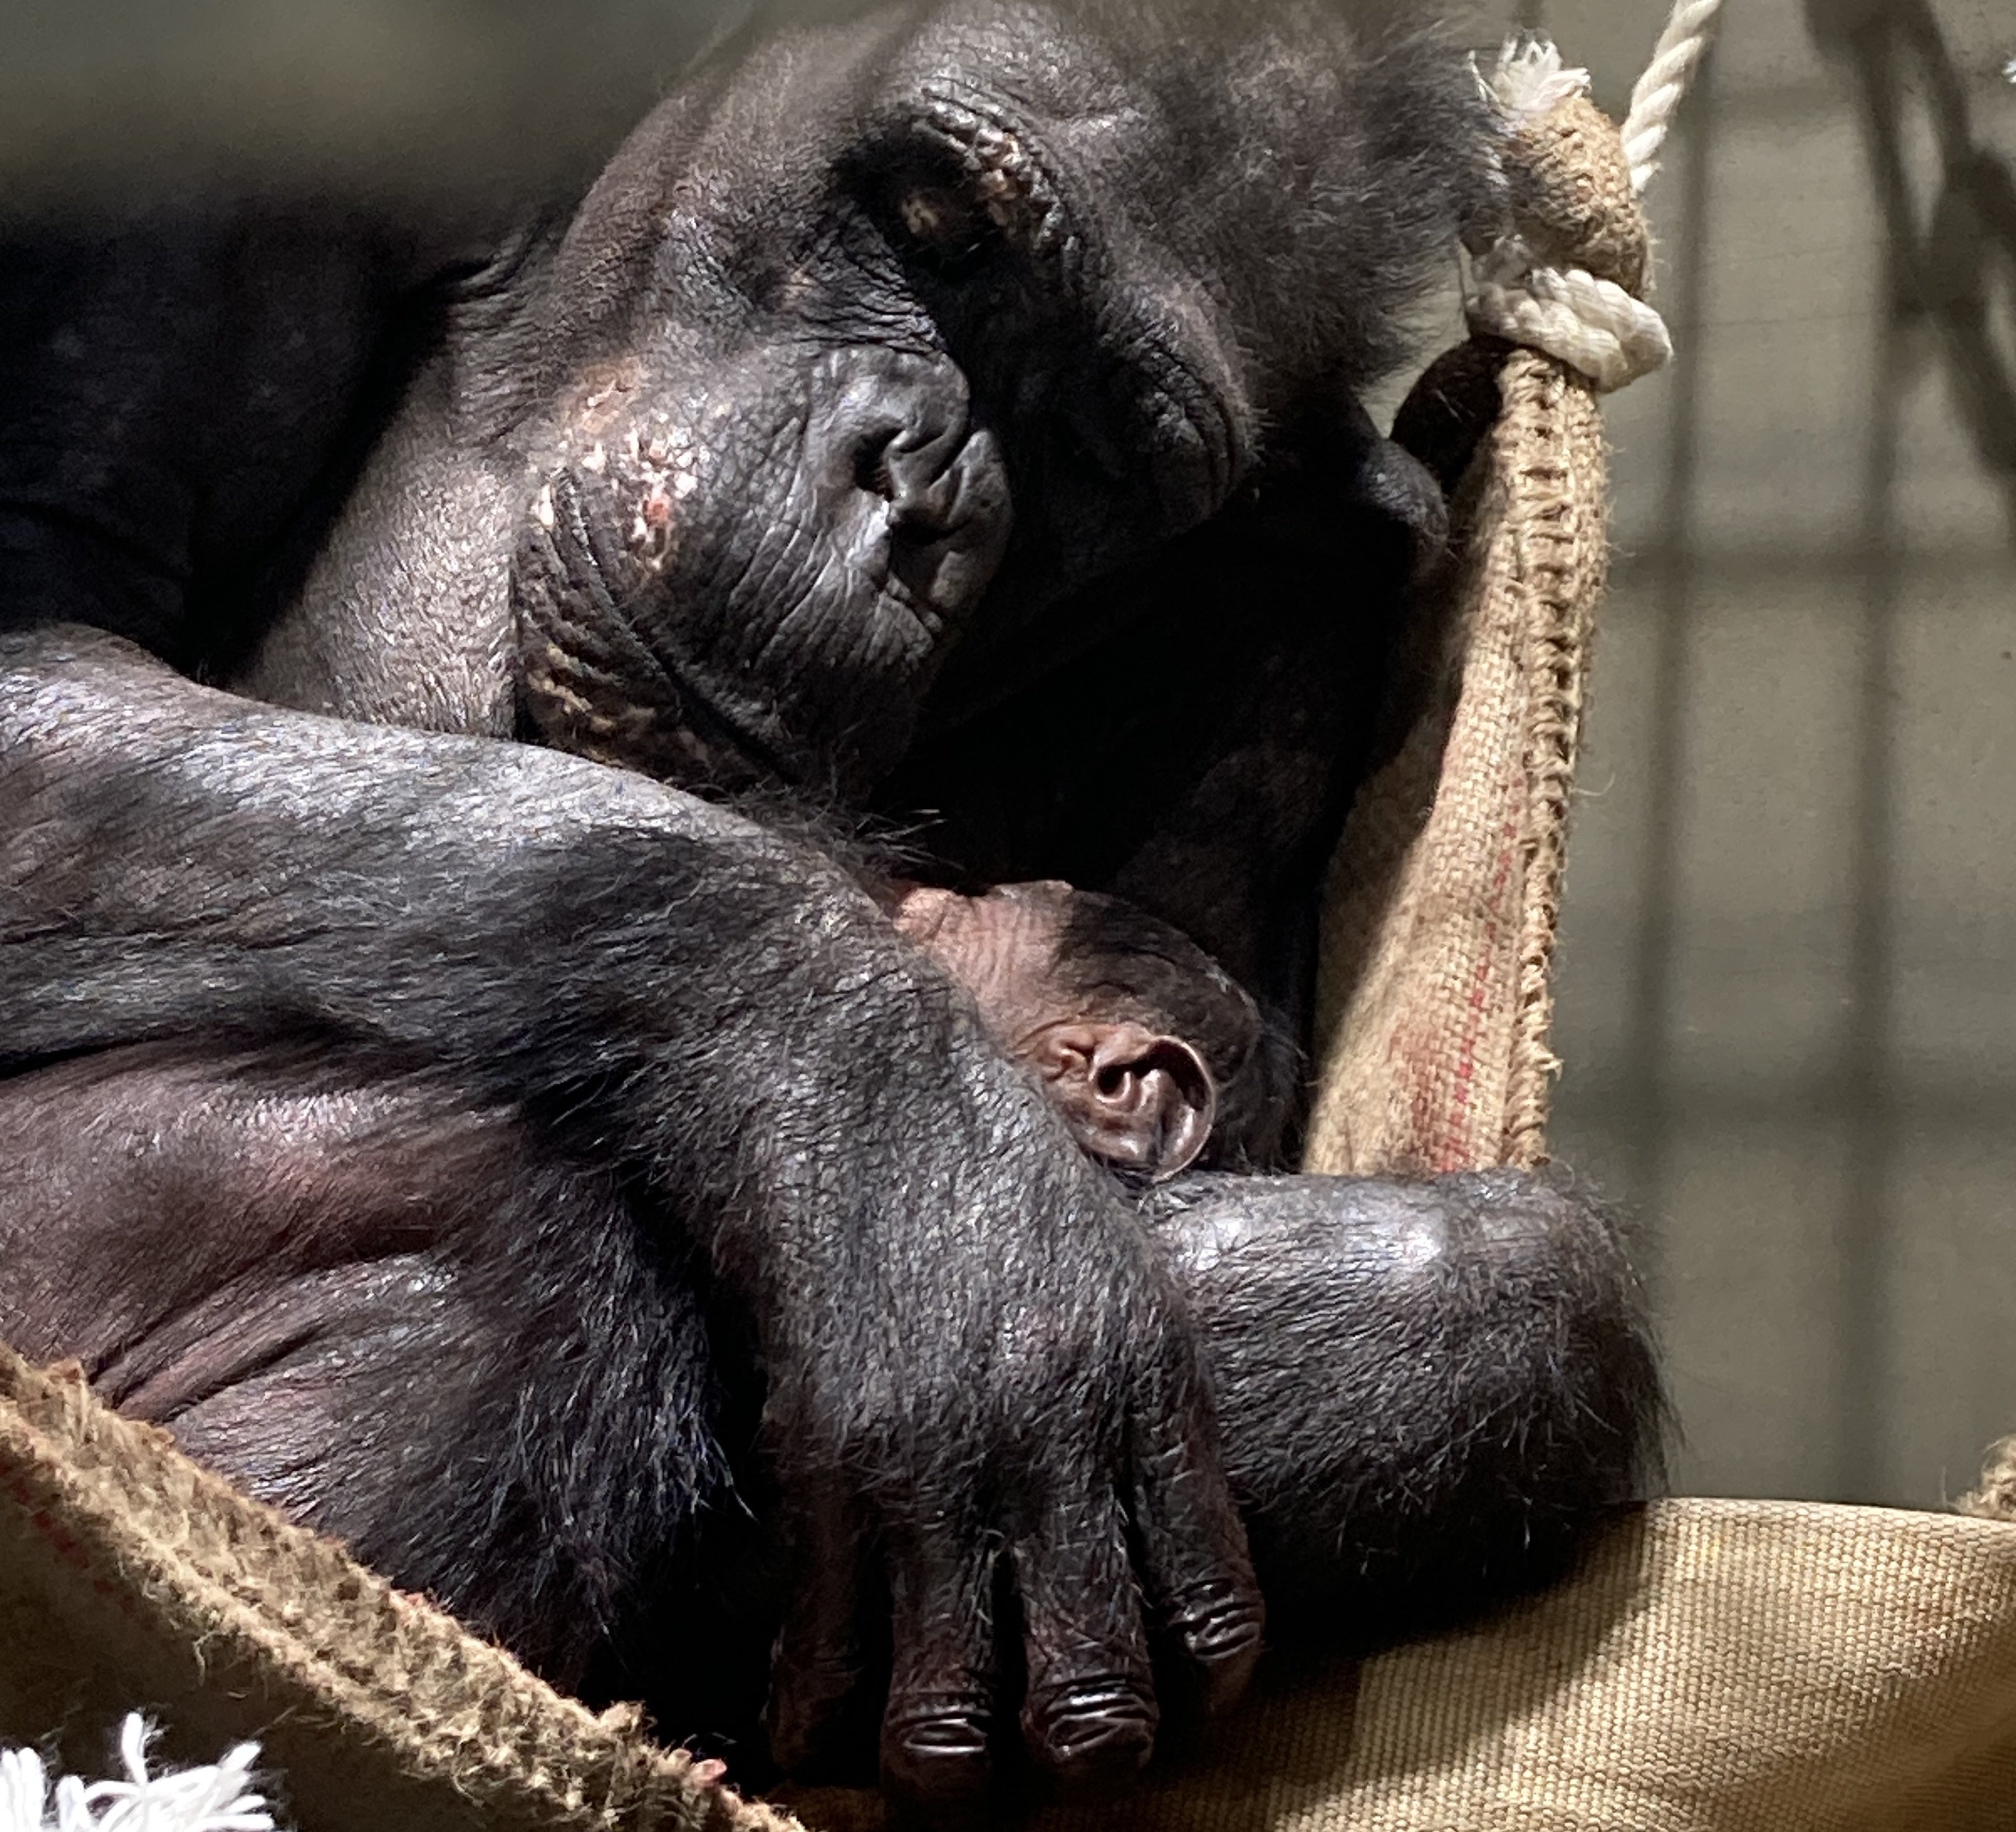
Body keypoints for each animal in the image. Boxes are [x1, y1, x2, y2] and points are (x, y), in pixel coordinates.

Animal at [0, 0, 1661, 1813]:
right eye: (942, 230)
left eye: (1107, 440)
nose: (918, 485)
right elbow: (44, 641)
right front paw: (915, 1164)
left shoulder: (1329, 569)